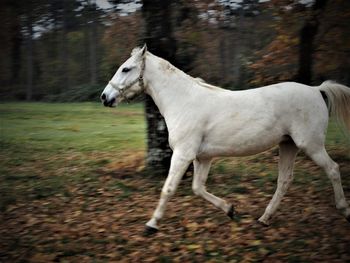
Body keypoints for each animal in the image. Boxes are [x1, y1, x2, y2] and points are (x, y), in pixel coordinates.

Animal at [101, 44, 350, 235]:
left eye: (126, 68)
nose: (105, 97)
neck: (184, 101)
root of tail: (317, 90)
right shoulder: (202, 158)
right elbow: (197, 188)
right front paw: (230, 209)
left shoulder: (183, 154)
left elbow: (169, 189)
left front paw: (151, 225)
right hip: (288, 145)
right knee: (285, 181)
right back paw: (264, 218)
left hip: (311, 145)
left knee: (333, 169)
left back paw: (344, 209)